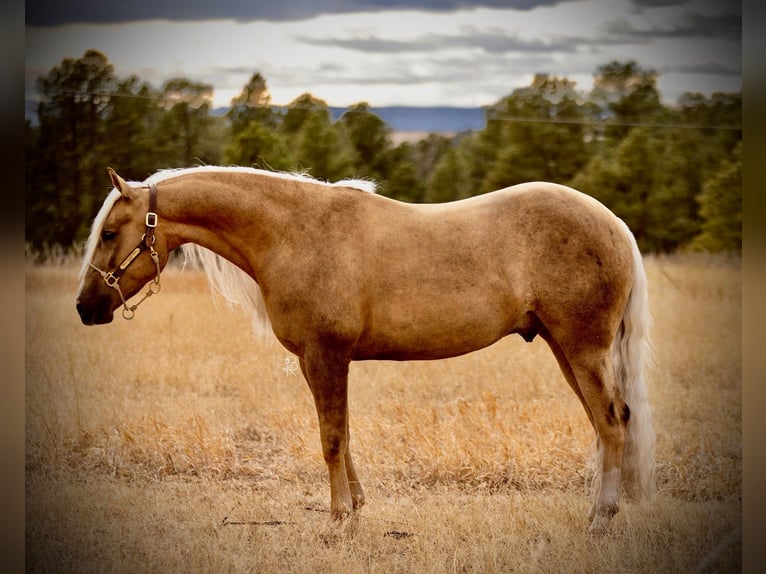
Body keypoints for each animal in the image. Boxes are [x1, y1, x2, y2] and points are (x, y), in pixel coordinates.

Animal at [76, 166, 655, 534]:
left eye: (109, 232)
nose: (85, 307)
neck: (294, 232)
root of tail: (614, 224)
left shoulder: (324, 355)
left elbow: (331, 437)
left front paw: (336, 523)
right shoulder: (322, 361)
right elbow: (345, 433)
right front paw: (353, 509)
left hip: (583, 348)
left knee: (611, 423)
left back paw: (600, 520)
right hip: (565, 348)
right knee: (606, 423)